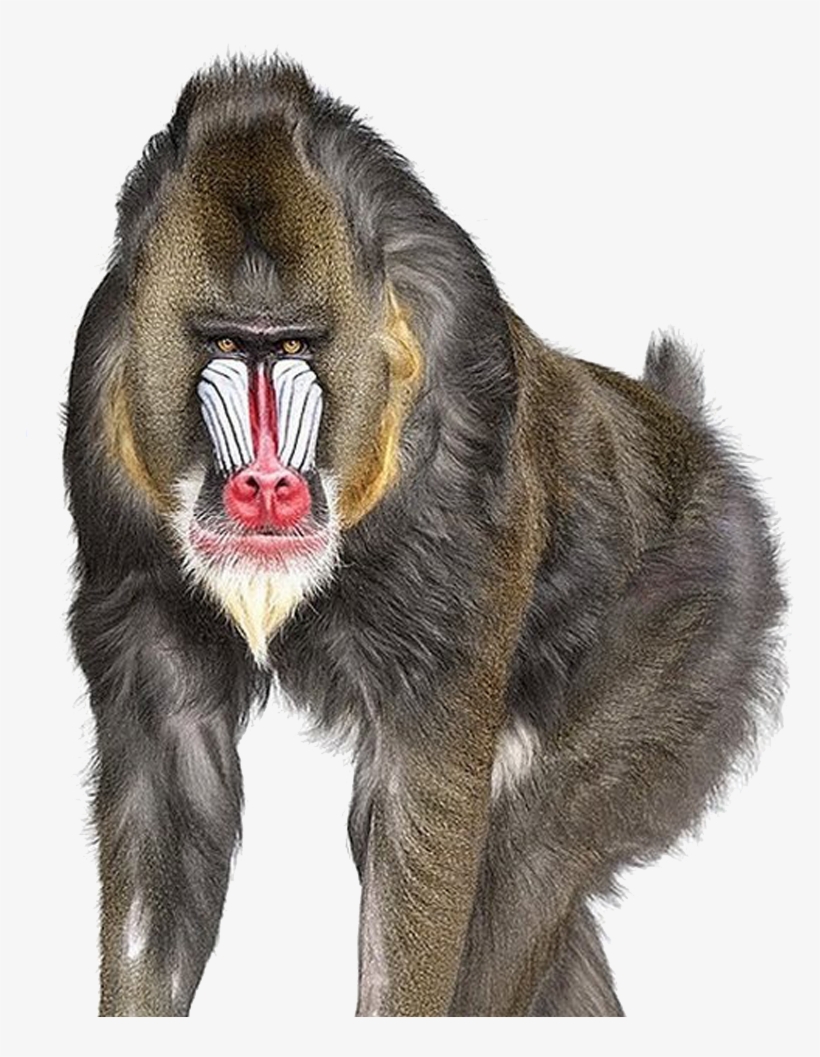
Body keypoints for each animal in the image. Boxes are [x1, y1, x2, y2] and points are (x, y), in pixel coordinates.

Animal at [64, 58, 786, 1018]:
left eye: (292, 347)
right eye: (224, 344)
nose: (266, 488)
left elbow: (424, 809)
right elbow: (167, 793)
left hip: (688, 638)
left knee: (529, 846)